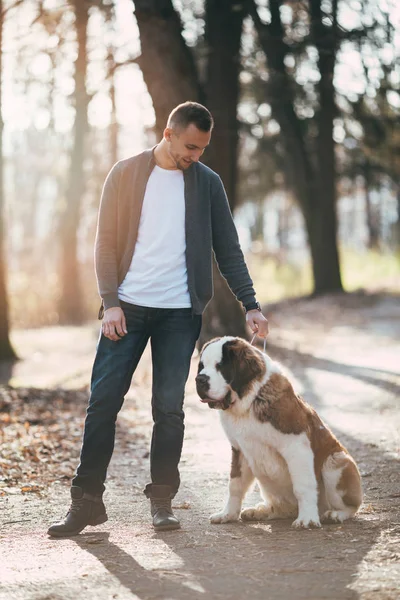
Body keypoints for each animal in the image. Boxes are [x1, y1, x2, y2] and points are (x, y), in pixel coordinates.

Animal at [195, 338, 364, 528]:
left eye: (220, 367)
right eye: (201, 366)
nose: (199, 379)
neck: (249, 402)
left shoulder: (296, 446)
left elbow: (302, 486)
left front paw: (307, 519)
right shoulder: (239, 450)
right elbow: (235, 485)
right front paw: (228, 514)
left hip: (337, 461)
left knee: (352, 506)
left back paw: (335, 514)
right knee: (280, 508)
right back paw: (260, 511)